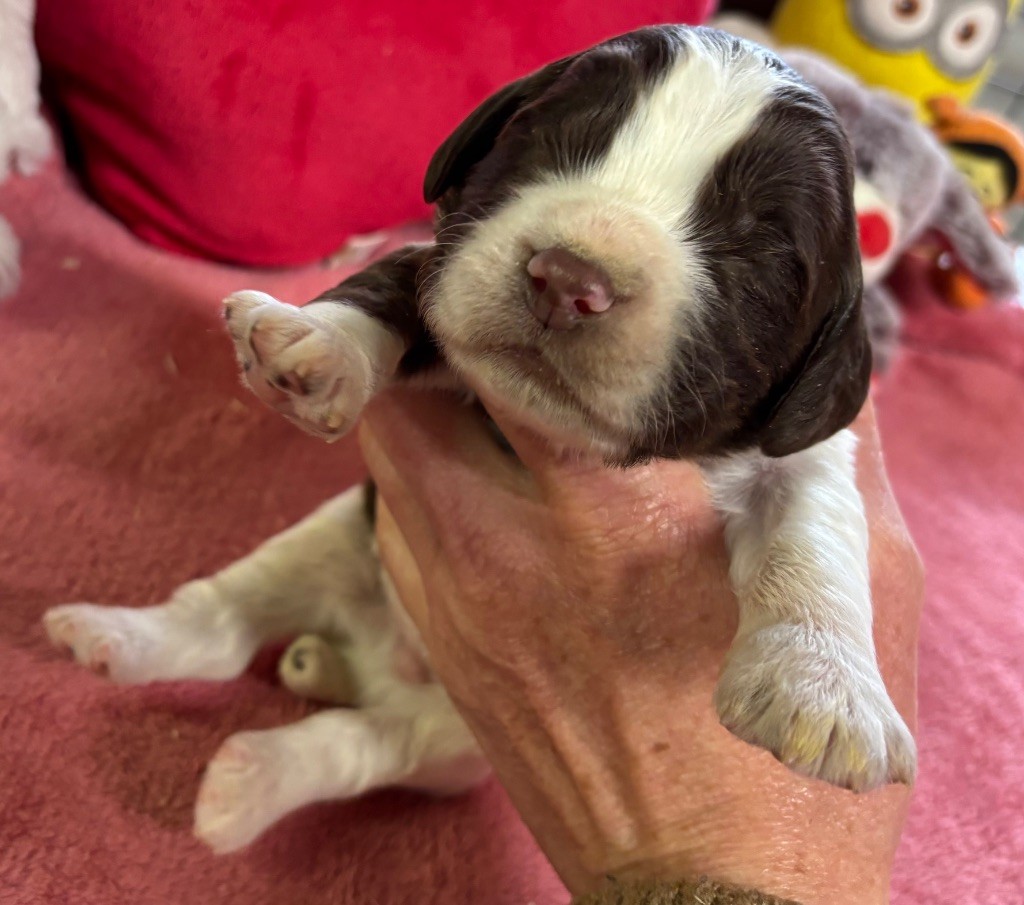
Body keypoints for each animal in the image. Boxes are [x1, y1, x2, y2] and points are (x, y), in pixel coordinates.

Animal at [44, 24, 917, 851]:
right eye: (550, 140)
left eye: (757, 246)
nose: (568, 279)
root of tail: (378, 661)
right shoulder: (449, 269)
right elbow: (398, 283)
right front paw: (317, 342)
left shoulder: (806, 447)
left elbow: (813, 530)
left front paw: (824, 688)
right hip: (331, 541)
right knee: (221, 622)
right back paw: (118, 639)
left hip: (465, 736)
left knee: (369, 738)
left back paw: (254, 773)